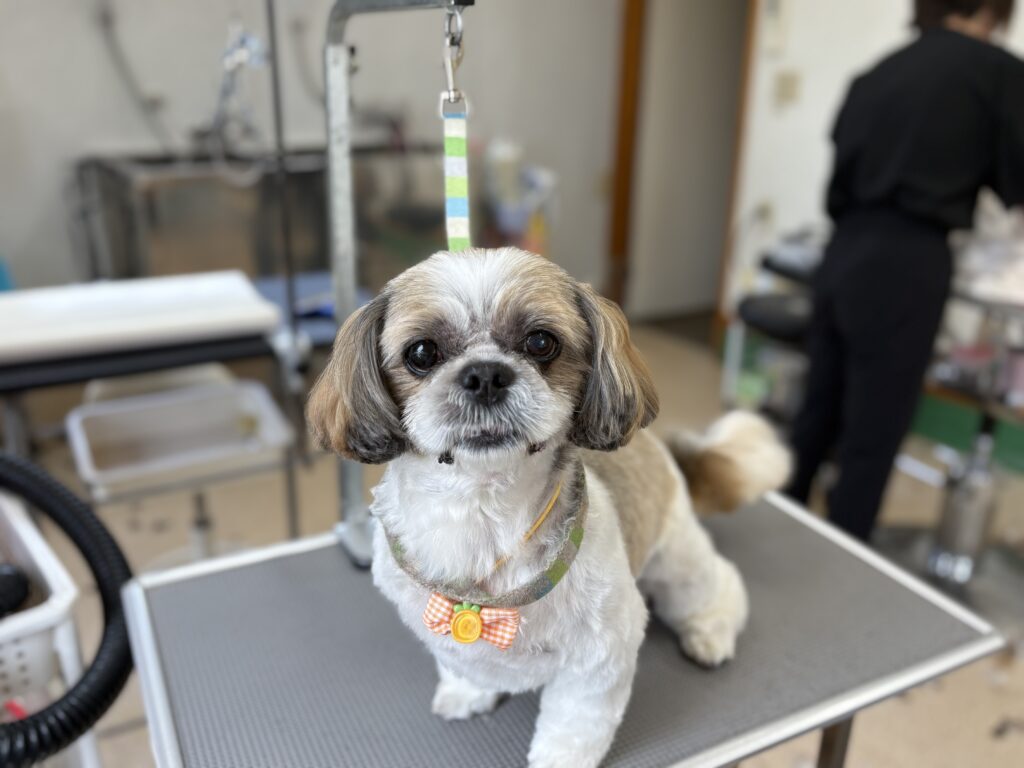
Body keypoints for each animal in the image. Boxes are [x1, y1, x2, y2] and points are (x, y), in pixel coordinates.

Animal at [308, 247, 789, 768]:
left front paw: (560, 758)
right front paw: (467, 692)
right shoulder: (438, 629)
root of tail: (661, 449)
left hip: (678, 563)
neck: (481, 512)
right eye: (421, 353)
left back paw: (709, 634)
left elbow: (575, 724)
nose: (485, 375)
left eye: (541, 342)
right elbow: (462, 664)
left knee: (719, 585)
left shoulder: (601, 652)